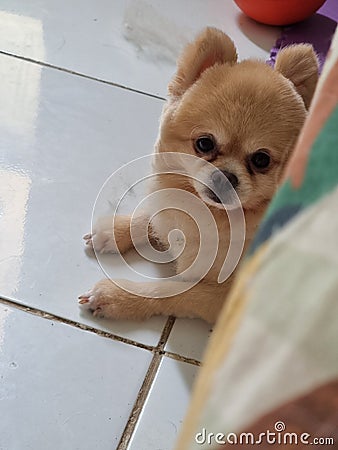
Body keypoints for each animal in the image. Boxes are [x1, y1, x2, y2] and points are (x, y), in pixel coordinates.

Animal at [78, 28, 316, 324]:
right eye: (204, 143)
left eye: (261, 160)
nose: (226, 176)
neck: (214, 216)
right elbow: (153, 216)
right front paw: (115, 230)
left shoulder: (221, 298)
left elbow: (169, 291)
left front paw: (117, 295)